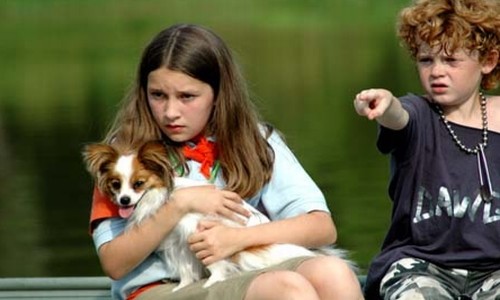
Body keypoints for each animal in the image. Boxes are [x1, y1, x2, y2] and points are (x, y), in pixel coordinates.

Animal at [83, 140, 352, 290]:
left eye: (138, 184)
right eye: (116, 185)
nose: (123, 201)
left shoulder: (198, 233)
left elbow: (214, 264)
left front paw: (213, 281)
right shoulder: (178, 243)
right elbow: (185, 268)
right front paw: (182, 288)